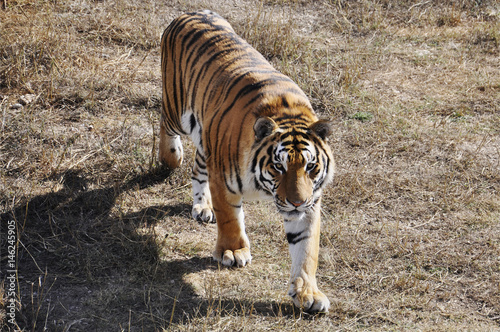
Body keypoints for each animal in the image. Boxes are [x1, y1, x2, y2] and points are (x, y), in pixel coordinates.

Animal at [158, 10, 334, 314]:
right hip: (176, 108)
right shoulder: (223, 181)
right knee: (164, 124)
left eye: (310, 167)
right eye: (279, 166)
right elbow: (230, 218)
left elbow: (307, 248)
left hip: (206, 136)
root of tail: (191, 12)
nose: (296, 202)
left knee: (197, 168)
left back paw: (203, 207)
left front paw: (308, 293)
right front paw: (233, 251)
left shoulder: (311, 203)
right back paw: (170, 157)